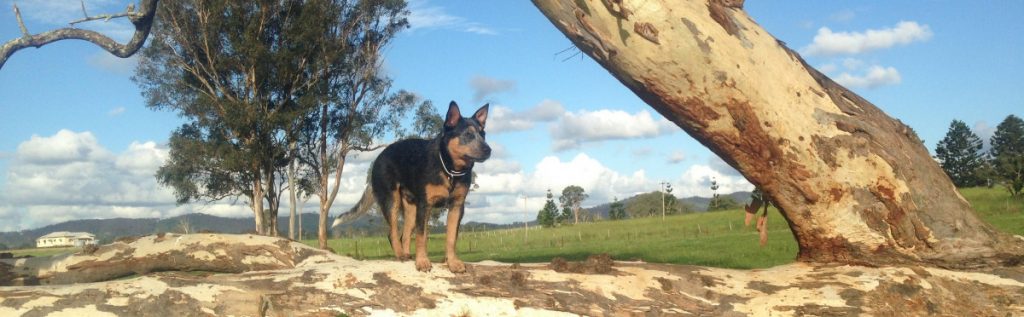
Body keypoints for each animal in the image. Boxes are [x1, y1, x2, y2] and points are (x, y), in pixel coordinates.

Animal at [329, 100, 485, 272]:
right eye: (468, 134)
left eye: (483, 134)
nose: (488, 150)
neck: (449, 170)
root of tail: (377, 160)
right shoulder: (425, 206)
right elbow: (422, 237)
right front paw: (422, 261)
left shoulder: (457, 207)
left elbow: (451, 238)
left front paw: (453, 263)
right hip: (392, 202)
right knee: (392, 234)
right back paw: (400, 255)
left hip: (410, 209)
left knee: (404, 235)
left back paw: (407, 254)